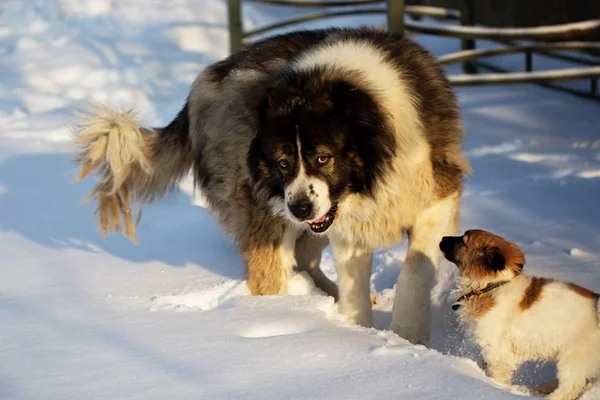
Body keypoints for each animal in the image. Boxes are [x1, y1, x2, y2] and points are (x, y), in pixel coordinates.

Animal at [74, 28, 468, 344]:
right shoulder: (343, 223)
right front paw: (369, 336)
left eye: (323, 158)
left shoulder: (434, 196)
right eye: (282, 162)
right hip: (262, 207)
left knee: (306, 259)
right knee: (270, 273)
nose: (300, 208)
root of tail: (205, 83)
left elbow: (414, 270)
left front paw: (404, 336)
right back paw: (279, 316)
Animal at [438, 228, 596, 400]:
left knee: (571, 387)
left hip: (574, 357)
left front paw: (496, 387)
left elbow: (497, 375)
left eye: (463, 240)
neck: (489, 286)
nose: (442, 238)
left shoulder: (498, 352)